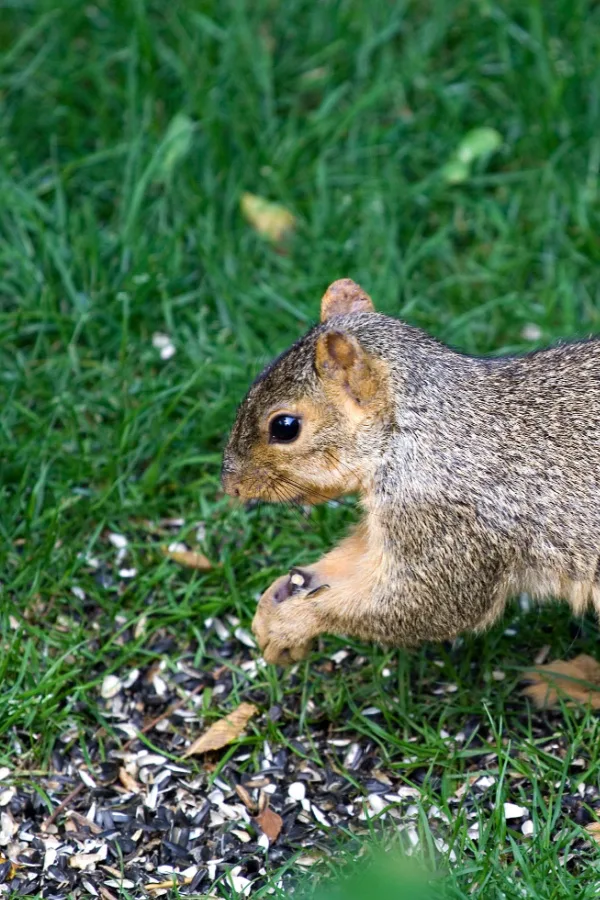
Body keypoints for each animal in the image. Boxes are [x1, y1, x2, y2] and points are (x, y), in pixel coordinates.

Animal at [222, 278, 600, 665]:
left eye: (285, 427)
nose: (230, 485)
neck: (418, 429)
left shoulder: (443, 522)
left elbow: (424, 603)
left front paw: (293, 622)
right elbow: (354, 560)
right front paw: (272, 605)